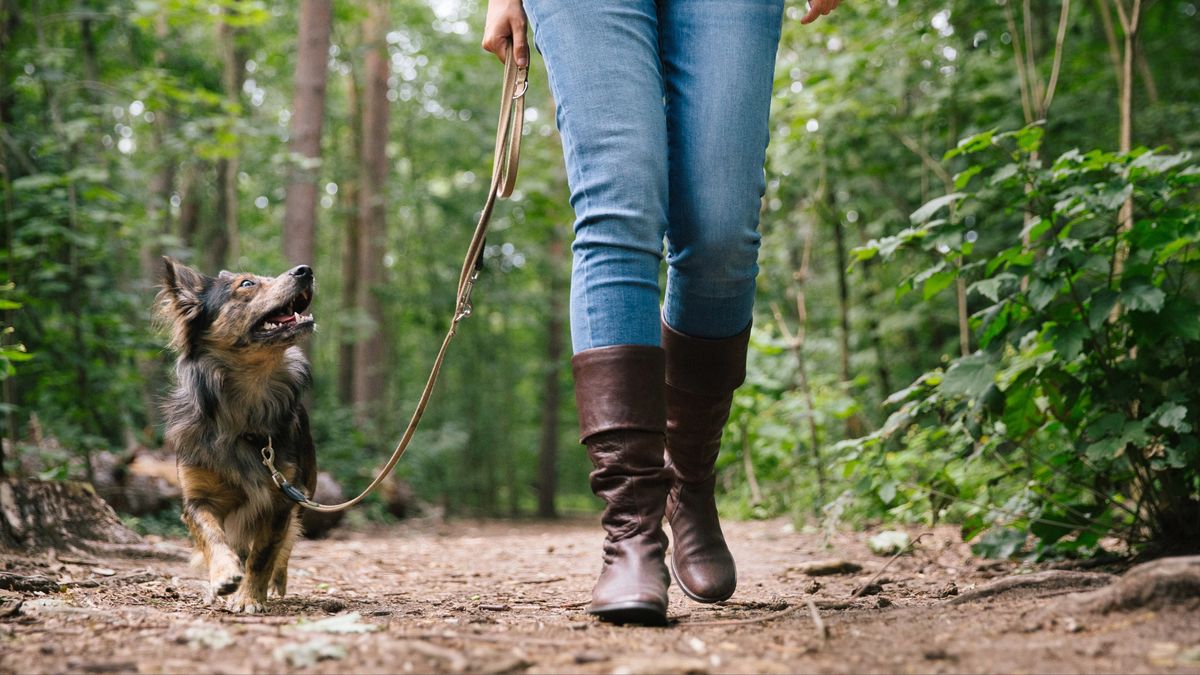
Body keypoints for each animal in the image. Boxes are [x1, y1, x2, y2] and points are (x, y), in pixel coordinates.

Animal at [158, 254, 319, 612]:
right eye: (247, 283)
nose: (306, 271)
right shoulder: (197, 498)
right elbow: (211, 536)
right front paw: (222, 575)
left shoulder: (281, 499)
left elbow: (263, 554)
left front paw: (249, 597)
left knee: (286, 544)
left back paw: (276, 581)